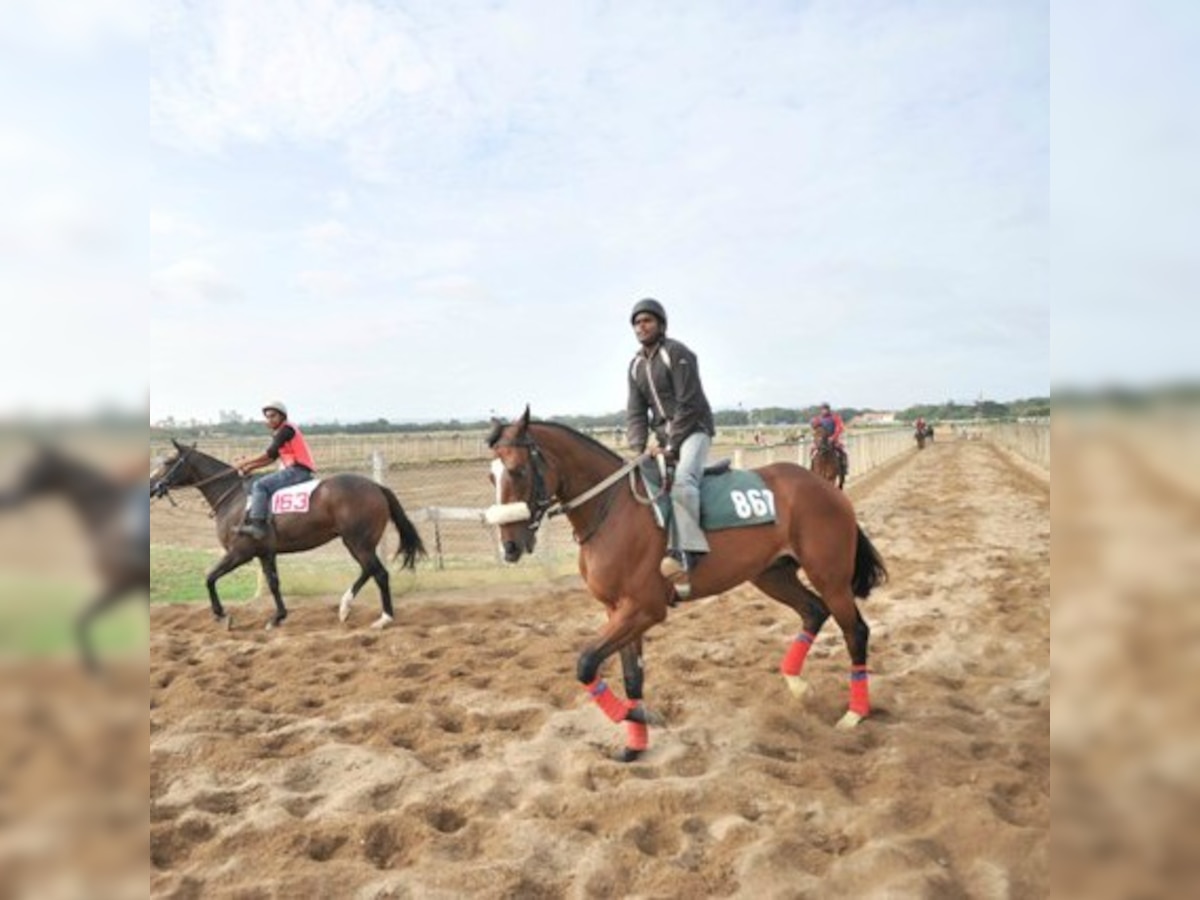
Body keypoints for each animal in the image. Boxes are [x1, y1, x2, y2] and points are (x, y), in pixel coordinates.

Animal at [0, 444, 148, 672]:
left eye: (28, 468)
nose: (5, 498)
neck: (108, 515)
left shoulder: (121, 583)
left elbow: (81, 619)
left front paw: (94, 668)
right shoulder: (130, 585)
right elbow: (80, 619)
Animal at [152, 441, 427, 628]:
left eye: (167, 462)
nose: (153, 486)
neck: (234, 497)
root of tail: (377, 487)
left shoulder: (240, 553)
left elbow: (209, 577)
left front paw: (221, 614)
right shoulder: (265, 553)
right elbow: (274, 584)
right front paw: (278, 617)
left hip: (358, 542)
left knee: (379, 573)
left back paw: (384, 618)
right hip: (356, 543)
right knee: (368, 570)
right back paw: (345, 607)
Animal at [482, 408, 888, 763]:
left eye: (518, 470)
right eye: (491, 476)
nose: (510, 546)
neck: (613, 510)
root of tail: (827, 489)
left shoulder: (645, 608)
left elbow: (585, 664)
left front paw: (644, 718)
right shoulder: (618, 610)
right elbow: (631, 676)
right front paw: (635, 743)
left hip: (830, 576)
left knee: (855, 631)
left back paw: (855, 713)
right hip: (772, 574)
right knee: (813, 611)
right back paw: (799, 685)